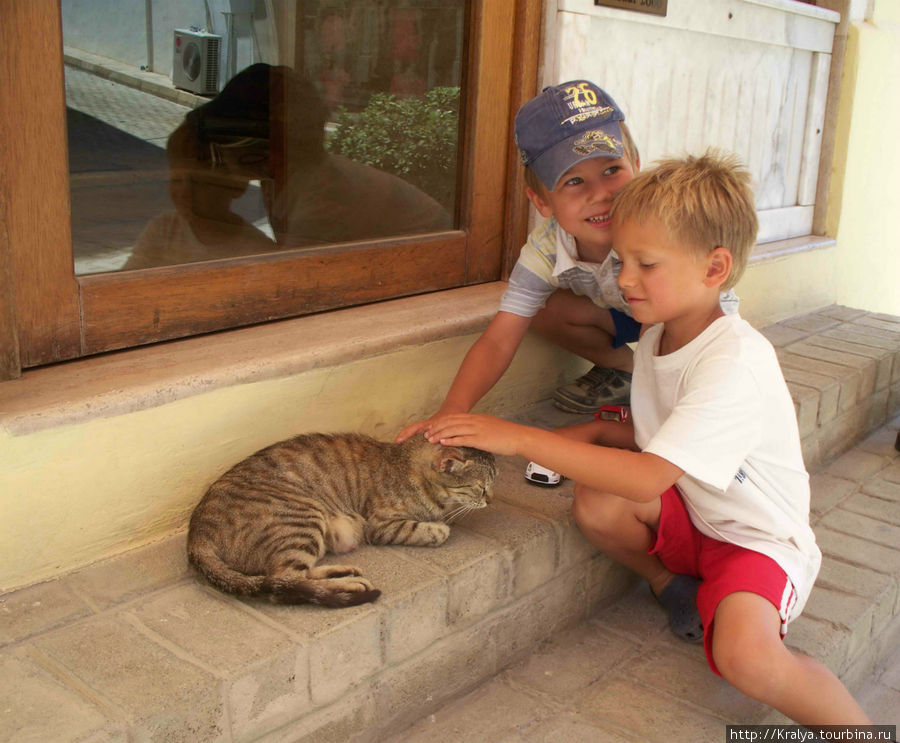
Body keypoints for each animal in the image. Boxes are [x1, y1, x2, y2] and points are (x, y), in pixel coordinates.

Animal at [185, 434, 496, 608]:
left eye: (493, 485)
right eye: (481, 487)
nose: (491, 500)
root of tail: (196, 535)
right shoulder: (381, 524)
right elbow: (432, 530)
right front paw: (440, 527)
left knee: (291, 578)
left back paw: (344, 573)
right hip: (302, 517)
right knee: (285, 582)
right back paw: (349, 585)